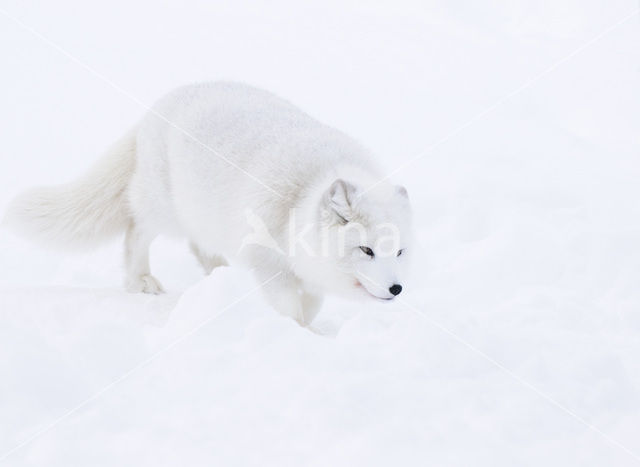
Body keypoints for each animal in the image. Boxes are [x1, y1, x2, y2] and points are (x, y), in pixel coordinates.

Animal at [2, 82, 412, 326]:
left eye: (400, 252)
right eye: (366, 250)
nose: (397, 290)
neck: (303, 196)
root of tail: (158, 106)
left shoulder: (308, 274)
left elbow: (311, 306)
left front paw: (308, 329)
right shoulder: (269, 261)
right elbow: (288, 308)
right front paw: (296, 333)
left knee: (199, 246)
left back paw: (219, 277)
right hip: (164, 210)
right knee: (136, 231)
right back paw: (140, 280)